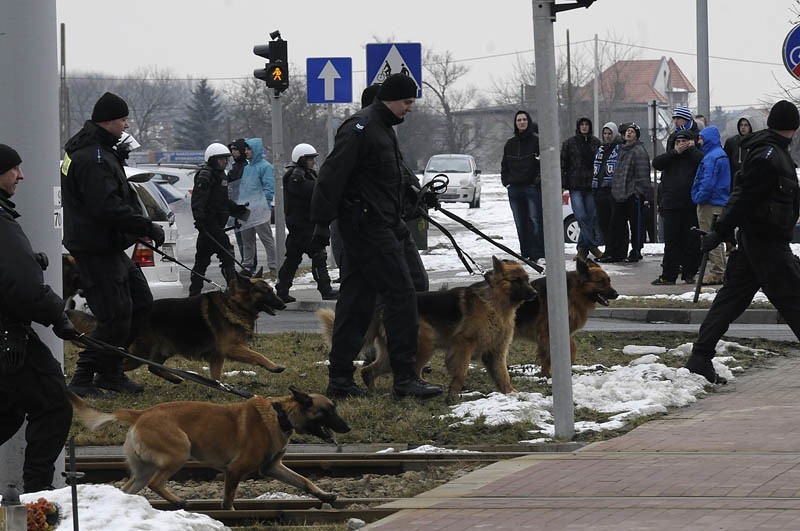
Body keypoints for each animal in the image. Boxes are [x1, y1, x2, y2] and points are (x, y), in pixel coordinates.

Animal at [70, 386, 352, 512]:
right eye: (329, 410)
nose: (348, 427)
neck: (281, 414)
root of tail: (140, 414)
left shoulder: (272, 467)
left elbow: (304, 480)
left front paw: (325, 496)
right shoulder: (235, 471)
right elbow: (228, 500)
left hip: (143, 469)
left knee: (129, 487)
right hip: (180, 451)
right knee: (156, 482)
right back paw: (178, 500)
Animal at [75, 270, 286, 382]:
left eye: (272, 290)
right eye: (266, 291)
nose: (284, 304)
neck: (233, 304)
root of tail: (136, 313)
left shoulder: (219, 356)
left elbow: (216, 377)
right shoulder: (231, 348)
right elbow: (257, 355)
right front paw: (274, 367)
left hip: (162, 351)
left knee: (152, 367)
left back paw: (174, 378)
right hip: (142, 353)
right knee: (125, 365)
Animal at [318, 256, 536, 400]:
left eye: (527, 279)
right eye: (516, 280)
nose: (534, 293)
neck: (495, 302)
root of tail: (382, 306)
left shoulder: (496, 352)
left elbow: (503, 376)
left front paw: (512, 395)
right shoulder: (464, 345)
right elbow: (461, 373)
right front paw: (453, 395)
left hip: (398, 352)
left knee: (368, 371)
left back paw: (374, 394)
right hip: (424, 344)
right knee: (406, 371)